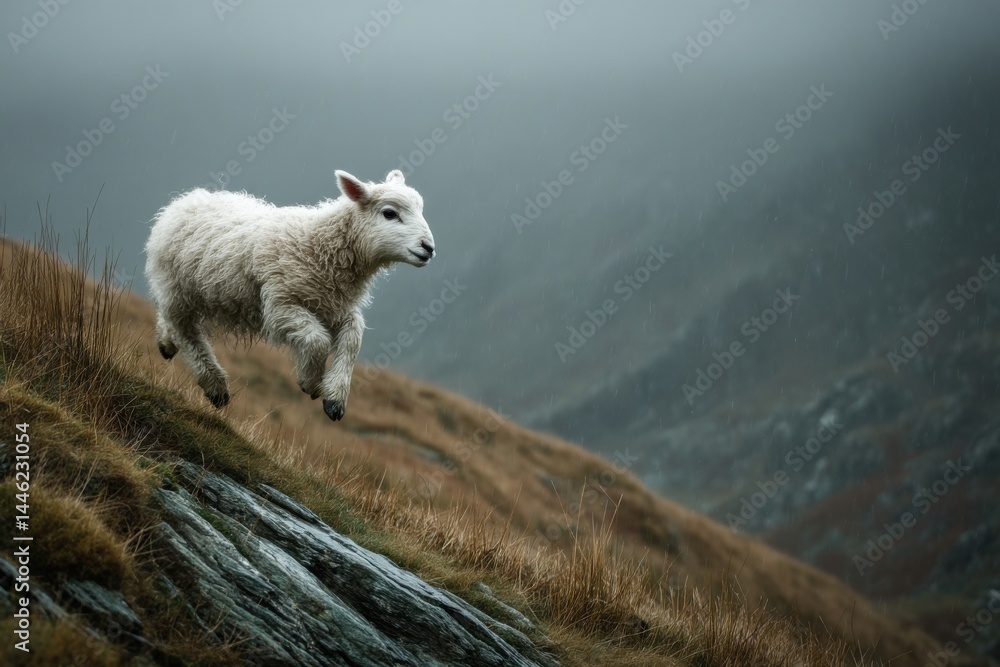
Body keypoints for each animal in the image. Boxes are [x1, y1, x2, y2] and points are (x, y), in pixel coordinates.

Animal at [144, 169, 435, 421]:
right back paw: (214, 385)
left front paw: (335, 398)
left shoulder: (337, 307)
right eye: (390, 213)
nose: (429, 248)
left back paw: (166, 343)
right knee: (187, 333)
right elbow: (317, 340)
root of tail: (186, 200)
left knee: (173, 322)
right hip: (177, 289)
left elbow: (353, 338)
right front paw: (311, 382)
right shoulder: (280, 305)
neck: (319, 249)